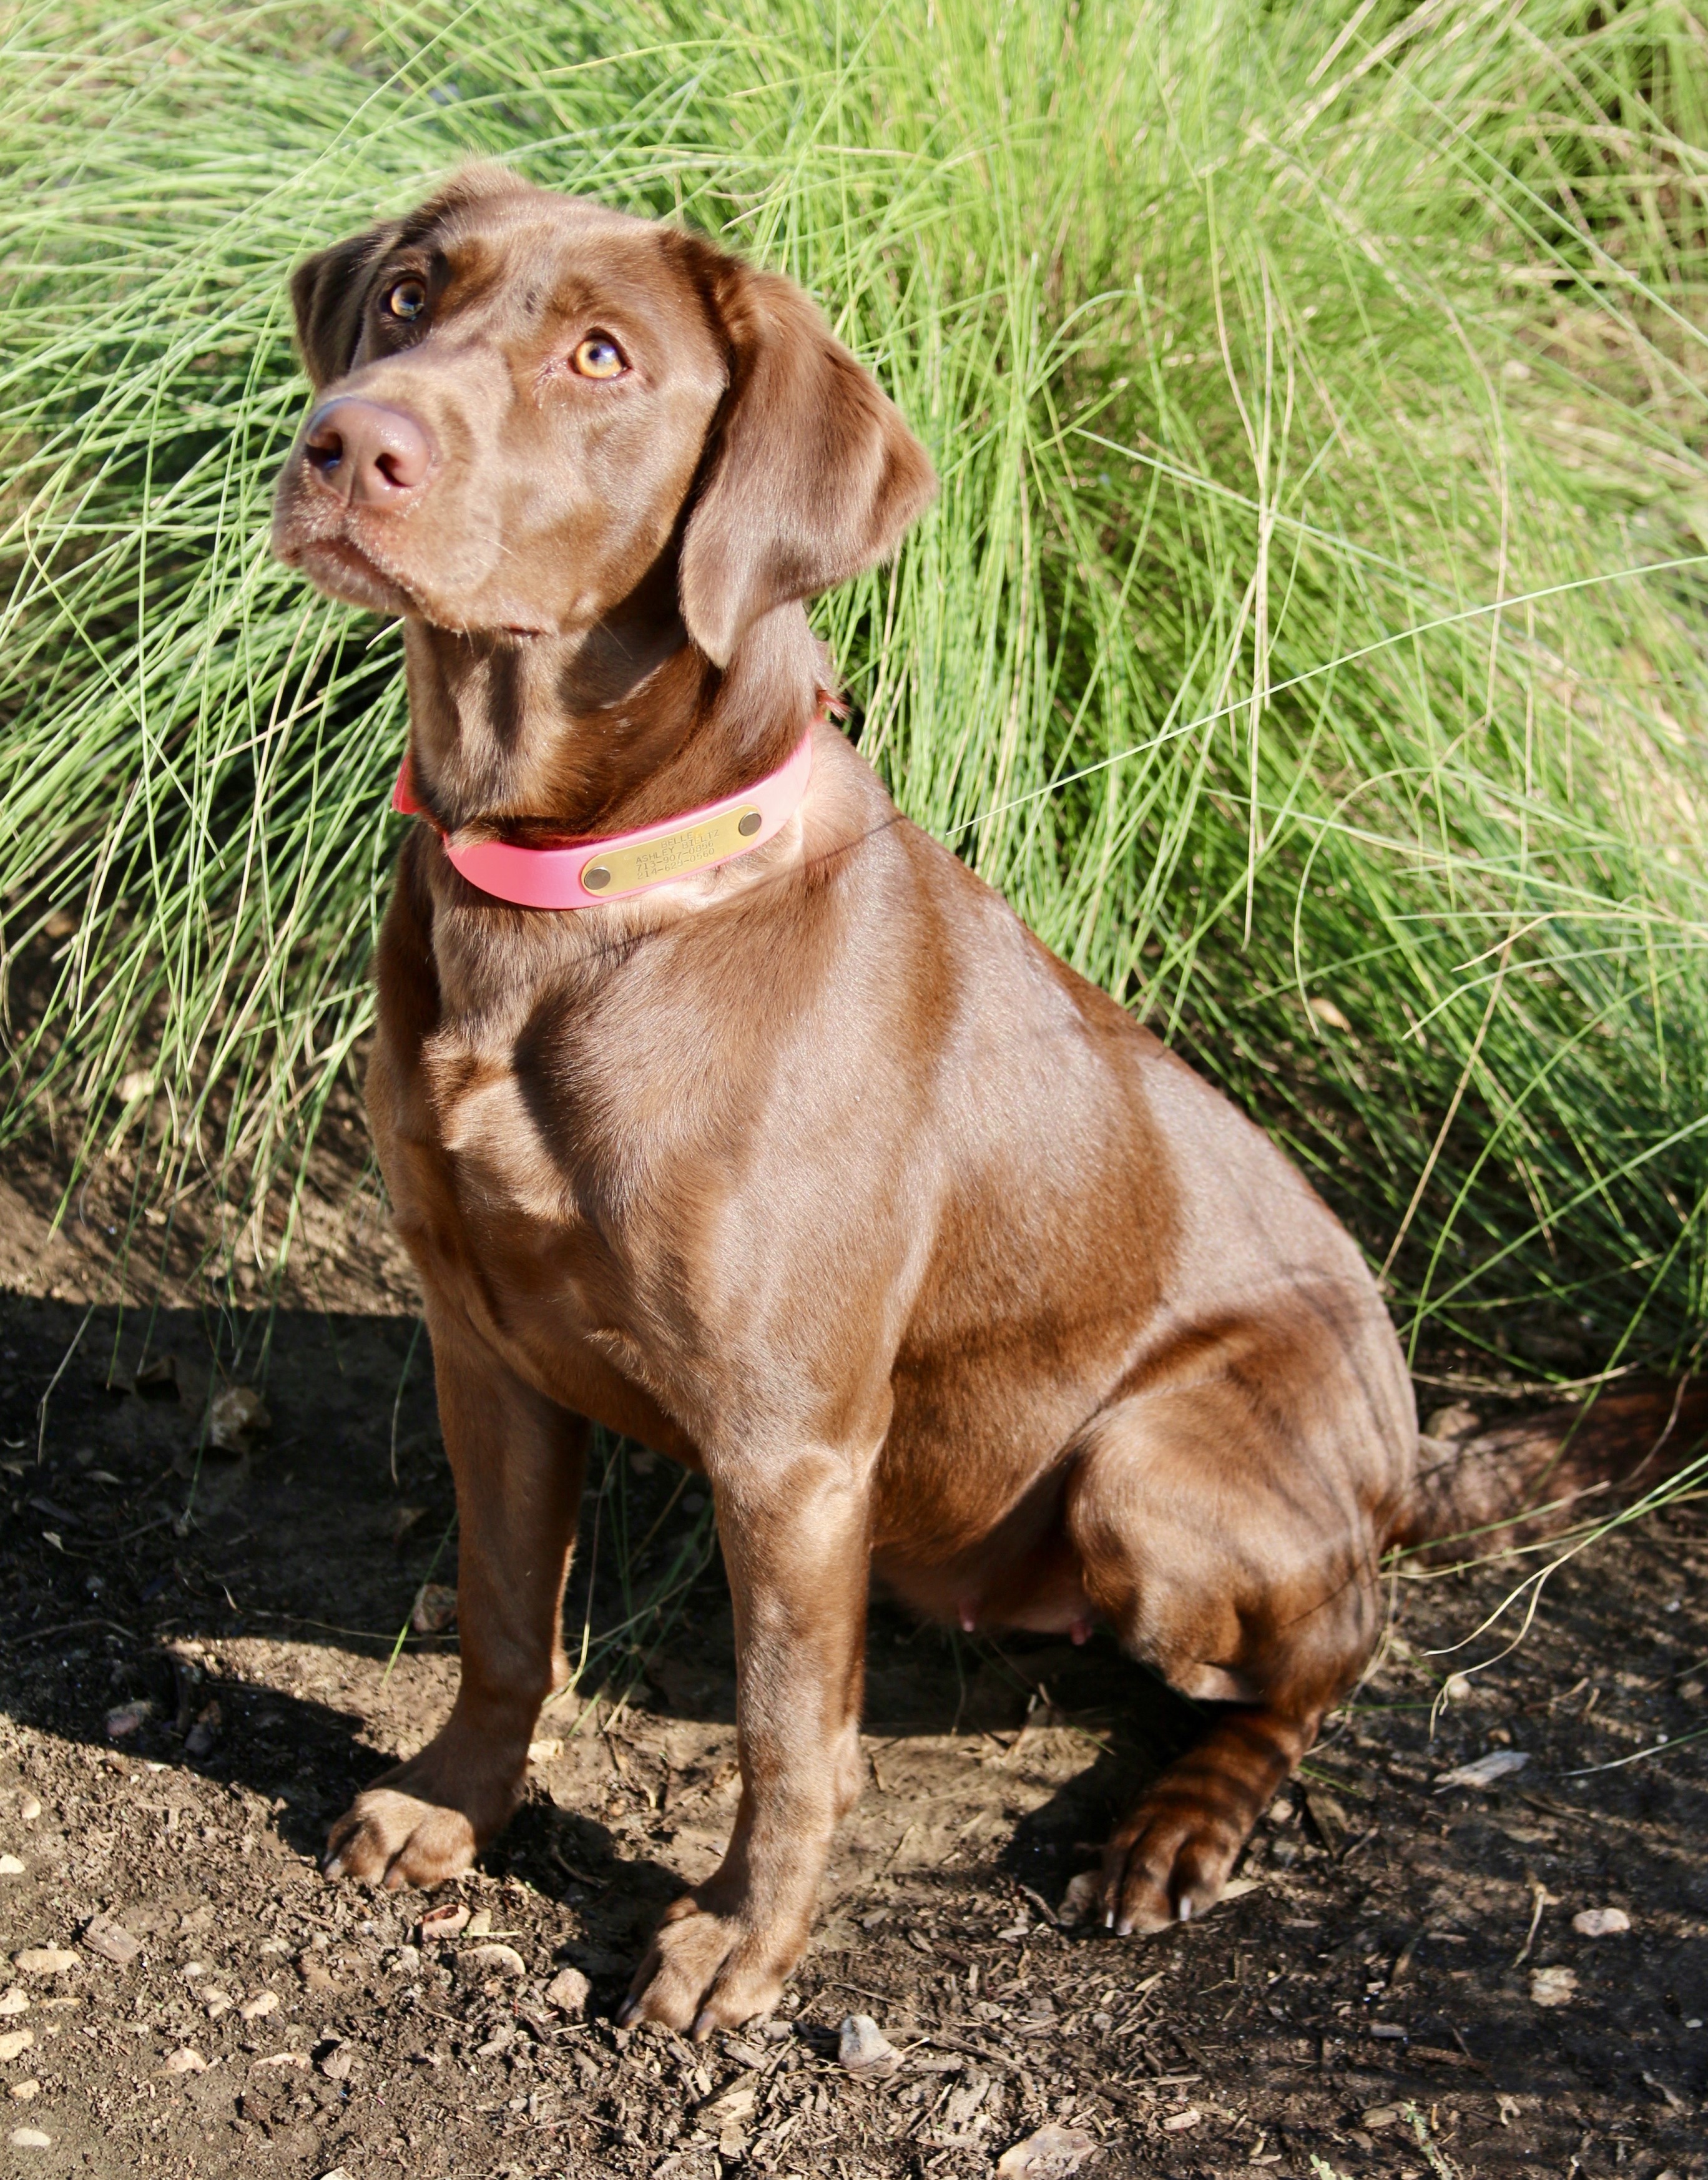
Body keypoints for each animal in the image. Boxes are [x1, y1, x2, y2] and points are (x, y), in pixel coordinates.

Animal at [273, 174, 1691, 2040]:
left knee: (1332, 1648)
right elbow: (509, 1612)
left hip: (1151, 1471)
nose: (345, 441)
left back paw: (1178, 1823)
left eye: (601, 357)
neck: (583, 893)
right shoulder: (479, 1338)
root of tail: (1405, 1445)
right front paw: (452, 1803)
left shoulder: (791, 1439)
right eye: (407, 296)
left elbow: (790, 1728)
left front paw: (739, 1939)